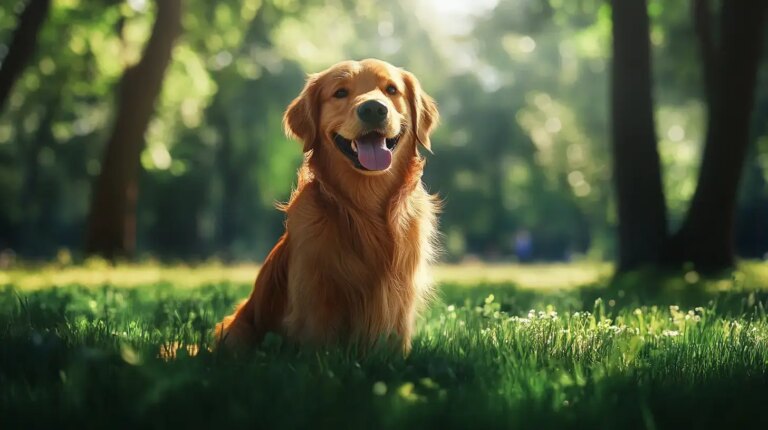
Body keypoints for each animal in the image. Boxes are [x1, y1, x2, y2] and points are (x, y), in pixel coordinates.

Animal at [216, 58, 440, 352]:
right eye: (340, 93)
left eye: (391, 90)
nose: (373, 108)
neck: (365, 208)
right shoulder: (315, 292)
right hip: (235, 330)